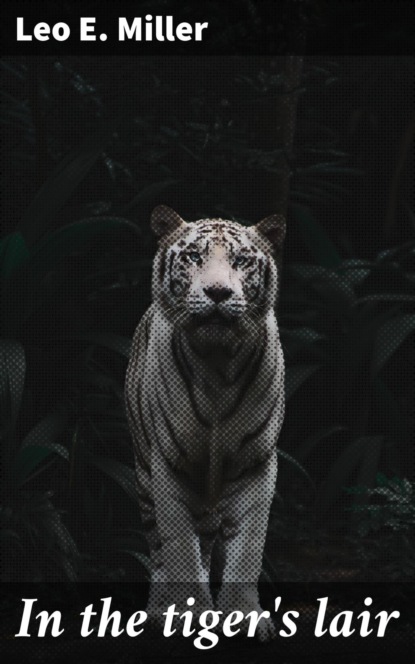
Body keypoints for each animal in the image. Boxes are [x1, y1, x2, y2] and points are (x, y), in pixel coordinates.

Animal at [124, 205, 285, 639]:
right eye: (194, 256)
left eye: (242, 260)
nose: (217, 293)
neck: (217, 366)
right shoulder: (169, 465)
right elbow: (180, 546)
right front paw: (189, 614)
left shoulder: (255, 464)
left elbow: (247, 549)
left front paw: (244, 616)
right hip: (143, 476)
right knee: (159, 551)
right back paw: (158, 610)